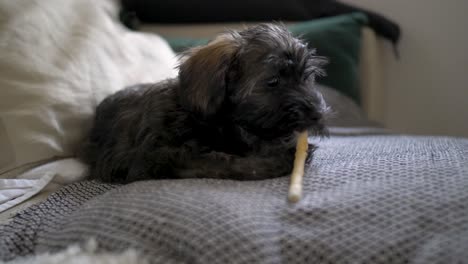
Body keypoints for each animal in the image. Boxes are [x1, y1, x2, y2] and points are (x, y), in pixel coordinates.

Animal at [79, 23, 330, 183]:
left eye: (306, 77)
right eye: (273, 81)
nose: (318, 113)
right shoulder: (165, 155)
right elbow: (221, 162)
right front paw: (278, 160)